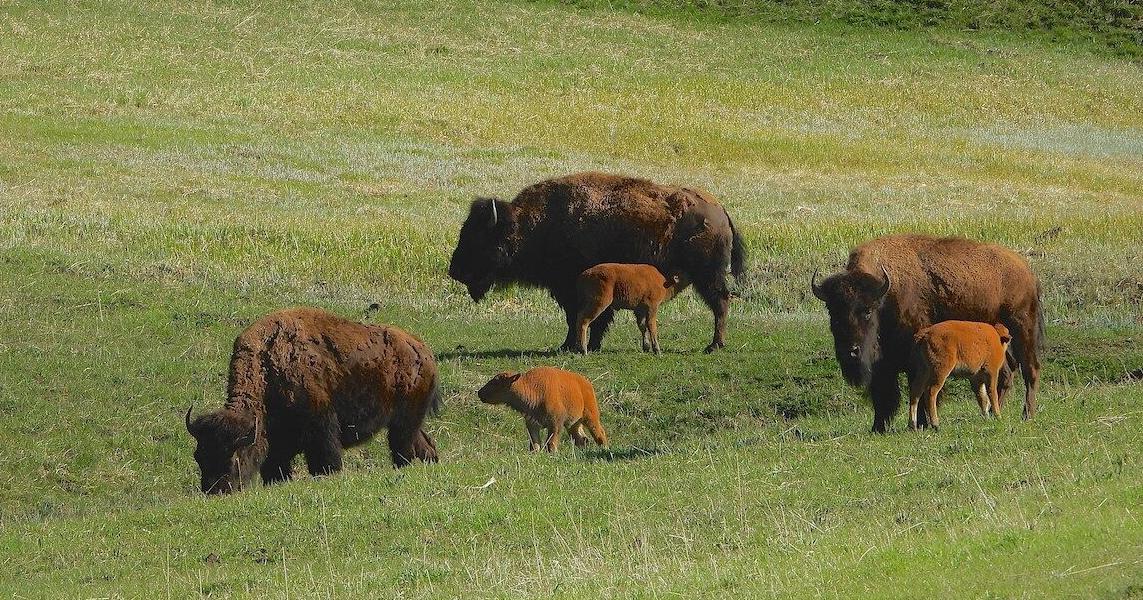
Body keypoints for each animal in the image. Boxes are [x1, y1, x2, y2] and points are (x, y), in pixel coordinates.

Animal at [185, 307, 441, 494]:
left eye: (233, 457)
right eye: (198, 456)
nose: (215, 491)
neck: (268, 365)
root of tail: (423, 350)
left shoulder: (321, 426)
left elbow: (325, 459)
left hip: (403, 424)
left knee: (403, 448)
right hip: (409, 422)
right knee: (424, 444)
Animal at [448, 171, 746, 353]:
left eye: (479, 237)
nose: (454, 270)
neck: (532, 223)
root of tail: (720, 210)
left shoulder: (571, 288)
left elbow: (579, 317)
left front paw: (574, 346)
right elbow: (584, 318)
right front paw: (579, 345)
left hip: (707, 275)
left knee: (720, 302)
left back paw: (714, 345)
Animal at [812, 234, 1043, 433]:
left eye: (867, 310)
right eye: (832, 311)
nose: (850, 351)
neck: (886, 295)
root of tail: (1026, 271)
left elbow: (919, 390)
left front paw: (922, 423)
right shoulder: (882, 366)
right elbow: (883, 394)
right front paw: (878, 427)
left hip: (1022, 328)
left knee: (1029, 369)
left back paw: (1027, 414)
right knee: (1005, 373)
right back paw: (993, 413)